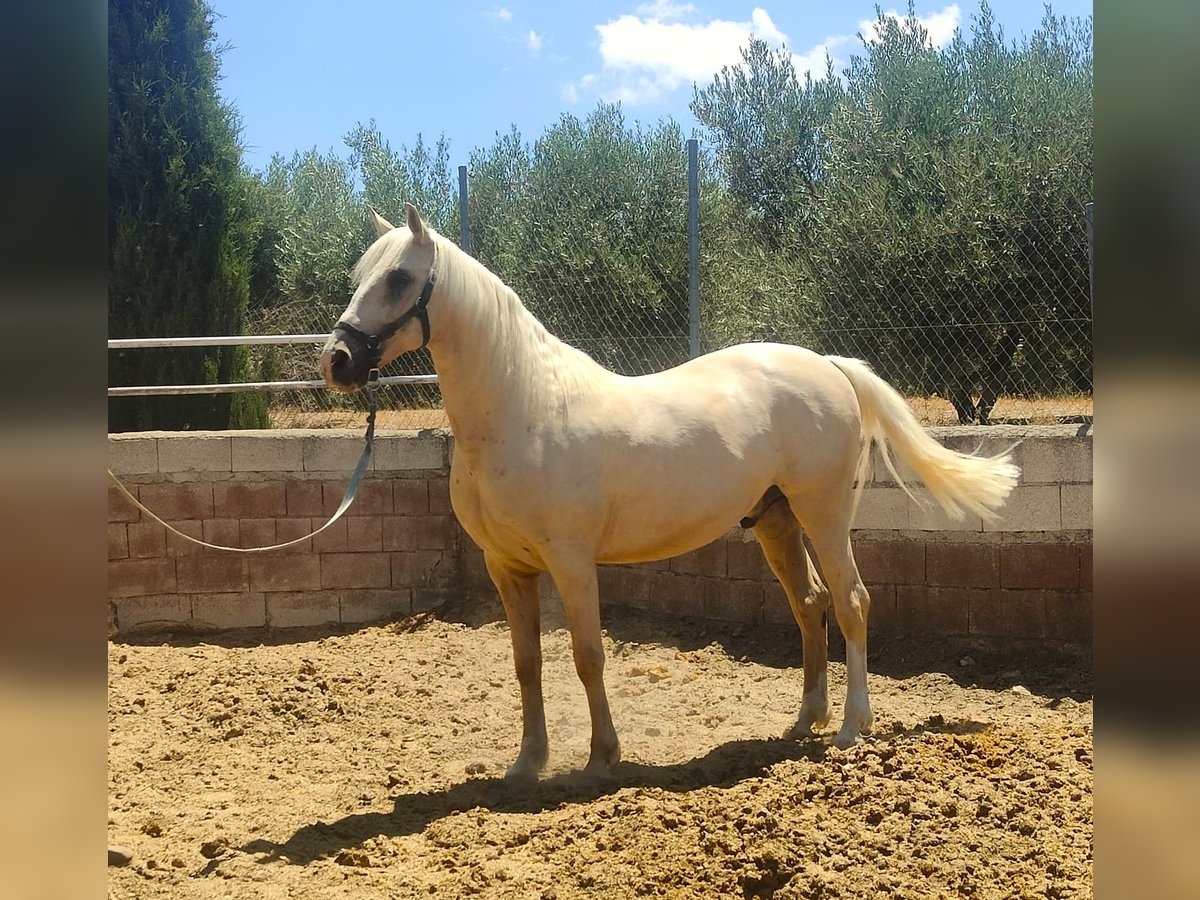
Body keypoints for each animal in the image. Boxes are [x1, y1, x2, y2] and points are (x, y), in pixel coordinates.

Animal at [316, 202, 1012, 782]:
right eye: (360, 274)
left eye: (399, 278)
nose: (338, 361)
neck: (523, 410)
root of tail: (829, 366)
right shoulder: (505, 566)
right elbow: (526, 663)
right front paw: (527, 763)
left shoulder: (571, 562)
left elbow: (587, 655)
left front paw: (602, 758)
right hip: (777, 522)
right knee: (810, 603)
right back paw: (805, 720)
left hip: (825, 515)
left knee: (851, 602)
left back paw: (850, 727)